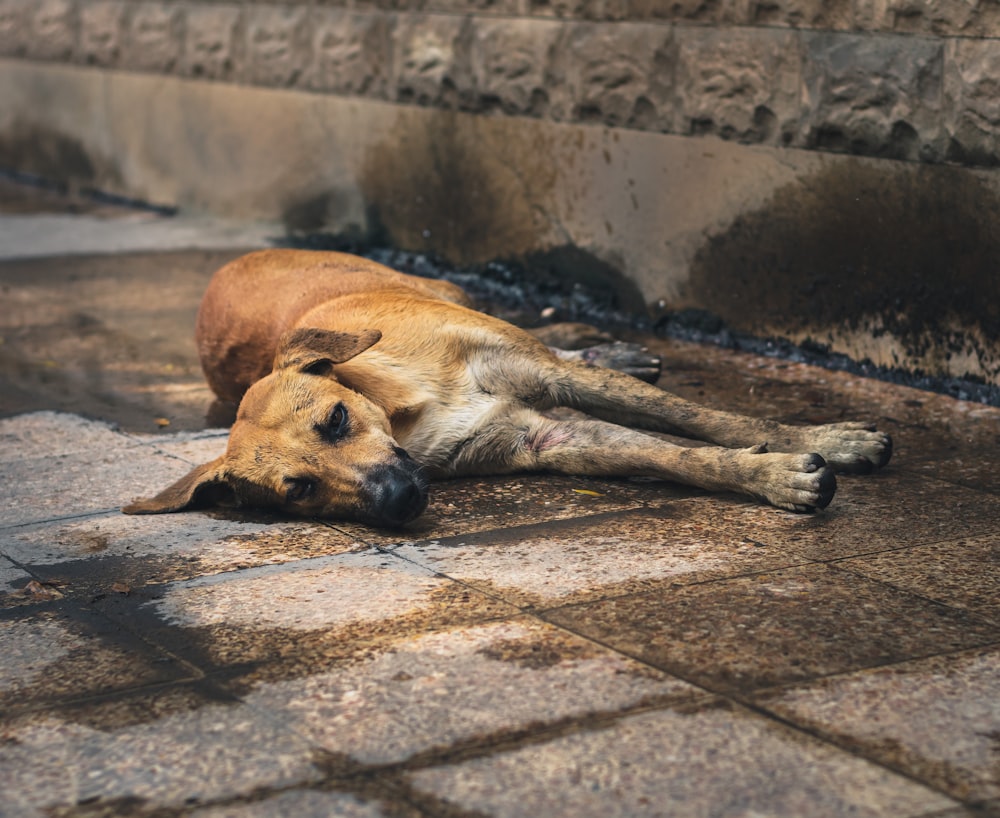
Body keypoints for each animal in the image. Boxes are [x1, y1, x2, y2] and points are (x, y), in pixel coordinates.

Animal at [123, 249, 892, 524]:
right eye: (299, 491)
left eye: (335, 421)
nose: (397, 502)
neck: (408, 409)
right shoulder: (551, 436)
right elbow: (682, 457)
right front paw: (773, 477)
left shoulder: (546, 375)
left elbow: (712, 420)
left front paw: (823, 438)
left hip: (458, 296)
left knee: (562, 343)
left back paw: (611, 346)